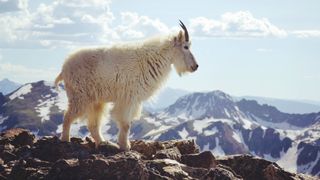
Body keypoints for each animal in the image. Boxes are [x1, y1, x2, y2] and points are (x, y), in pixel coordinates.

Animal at [55, 20, 198, 150]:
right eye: (185, 47)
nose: (195, 66)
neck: (153, 58)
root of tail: (64, 68)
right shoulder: (128, 98)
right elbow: (126, 124)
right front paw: (125, 146)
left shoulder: (132, 100)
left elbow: (127, 123)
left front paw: (124, 144)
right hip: (80, 96)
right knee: (68, 116)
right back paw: (65, 139)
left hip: (96, 101)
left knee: (93, 124)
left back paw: (104, 143)